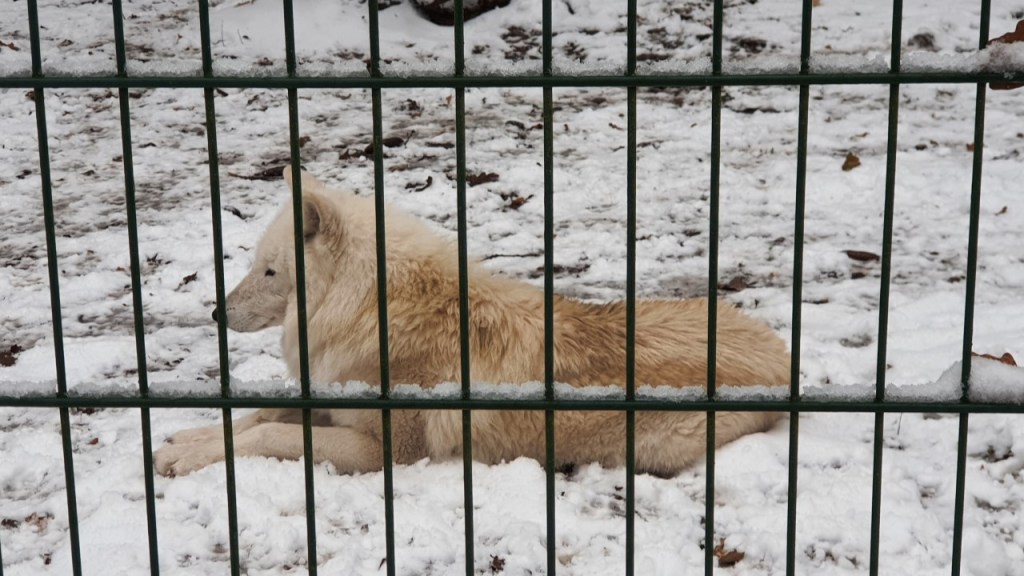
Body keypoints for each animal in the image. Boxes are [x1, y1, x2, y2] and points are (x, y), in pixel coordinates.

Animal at [153, 168, 790, 478]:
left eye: (269, 271)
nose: (216, 311)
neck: (368, 310)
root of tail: (785, 361)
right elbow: (257, 417)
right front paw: (185, 440)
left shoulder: (386, 453)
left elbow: (270, 434)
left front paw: (182, 457)